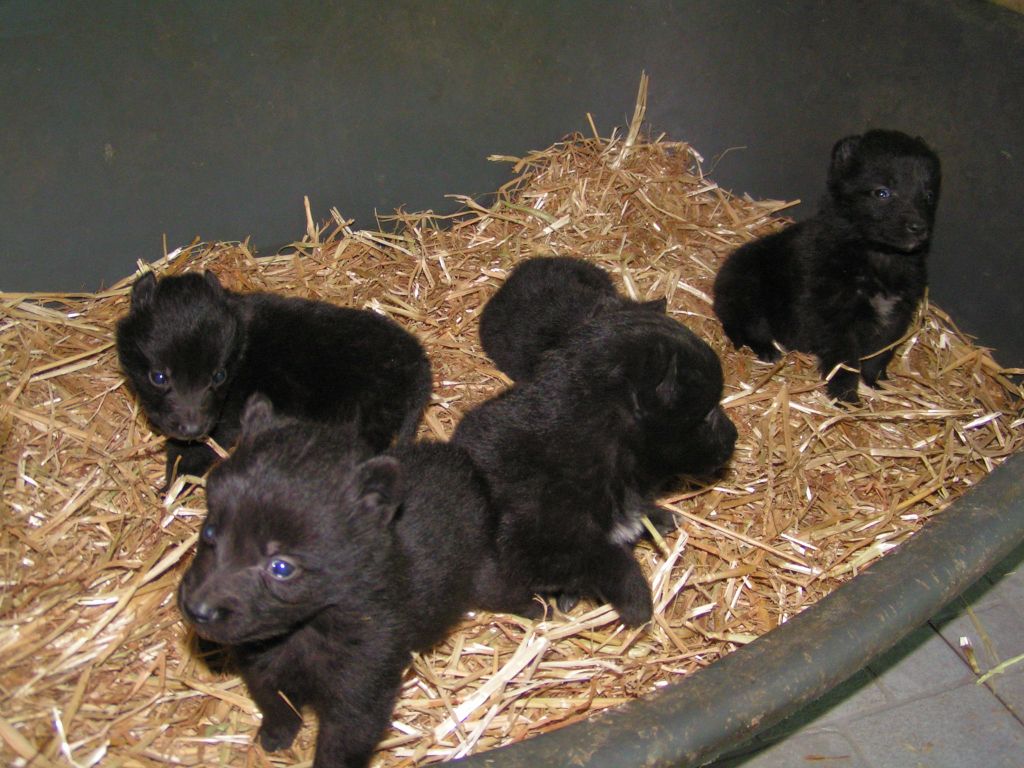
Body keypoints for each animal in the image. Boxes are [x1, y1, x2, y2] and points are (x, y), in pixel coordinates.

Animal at [117, 274, 432, 483]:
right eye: (158, 377)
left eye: (219, 375)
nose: (193, 427)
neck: (241, 349)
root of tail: (420, 367)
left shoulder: (224, 420)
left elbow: (193, 451)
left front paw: (174, 481)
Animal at [179, 397, 499, 768]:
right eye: (210, 532)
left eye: (281, 567)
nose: (197, 610)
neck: (308, 628)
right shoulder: (261, 665)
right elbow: (276, 704)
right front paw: (276, 735)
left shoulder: (361, 691)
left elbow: (340, 746)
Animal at [456, 309, 737, 626]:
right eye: (707, 414)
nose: (735, 437)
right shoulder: (537, 550)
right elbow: (612, 562)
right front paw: (639, 604)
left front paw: (657, 518)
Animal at [716, 130, 937, 403]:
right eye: (882, 192)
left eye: (928, 195)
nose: (919, 228)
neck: (878, 257)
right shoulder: (836, 318)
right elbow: (845, 361)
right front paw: (845, 397)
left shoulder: (896, 316)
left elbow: (878, 356)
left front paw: (876, 385)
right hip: (748, 290)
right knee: (745, 325)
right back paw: (767, 350)